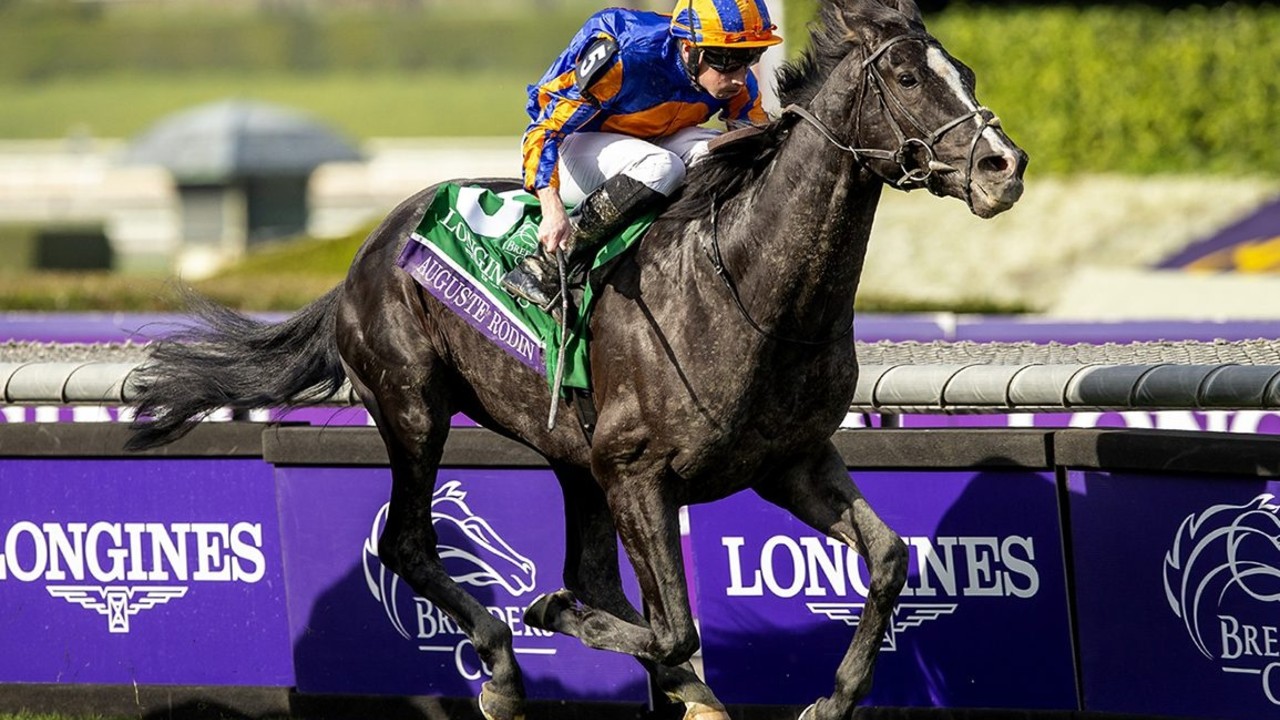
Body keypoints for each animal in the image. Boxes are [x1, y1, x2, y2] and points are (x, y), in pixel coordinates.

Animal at [129, 1, 1024, 717]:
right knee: (411, 544)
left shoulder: (789, 461)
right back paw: (502, 672)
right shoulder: (639, 472)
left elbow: (889, 559)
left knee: (586, 569)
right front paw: (552, 616)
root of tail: (367, 248)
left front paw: (831, 697)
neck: (747, 288)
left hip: (572, 455)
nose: (1003, 167)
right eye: (905, 77)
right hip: (414, 405)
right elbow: (672, 628)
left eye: (968, 71)